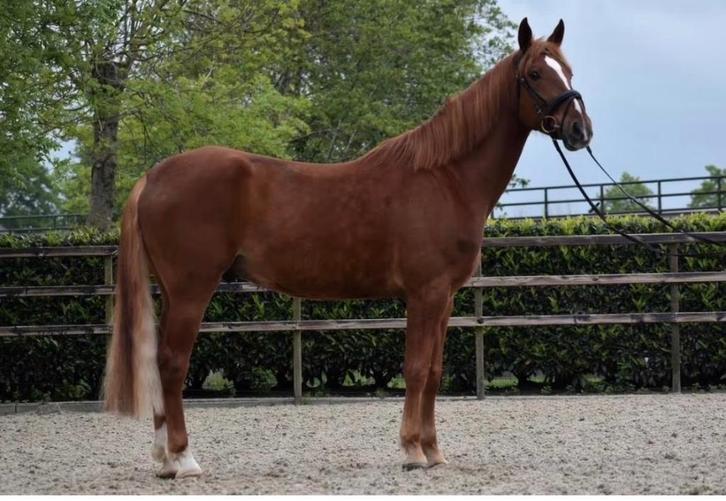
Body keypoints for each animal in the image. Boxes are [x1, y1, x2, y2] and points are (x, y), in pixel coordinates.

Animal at [102, 17, 593, 478]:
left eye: (568, 70)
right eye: (535, 73)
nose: (580, 129)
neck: (446, 179)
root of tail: (154, 176)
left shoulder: (446, 298)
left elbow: (434, 372)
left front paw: (434, 451)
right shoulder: (426, 293)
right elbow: (416, 369)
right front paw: (412, 451)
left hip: (171, 291)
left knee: (158, 361)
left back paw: (164, 458)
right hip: (192, 290)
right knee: (172, 363)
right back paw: (183, 458)